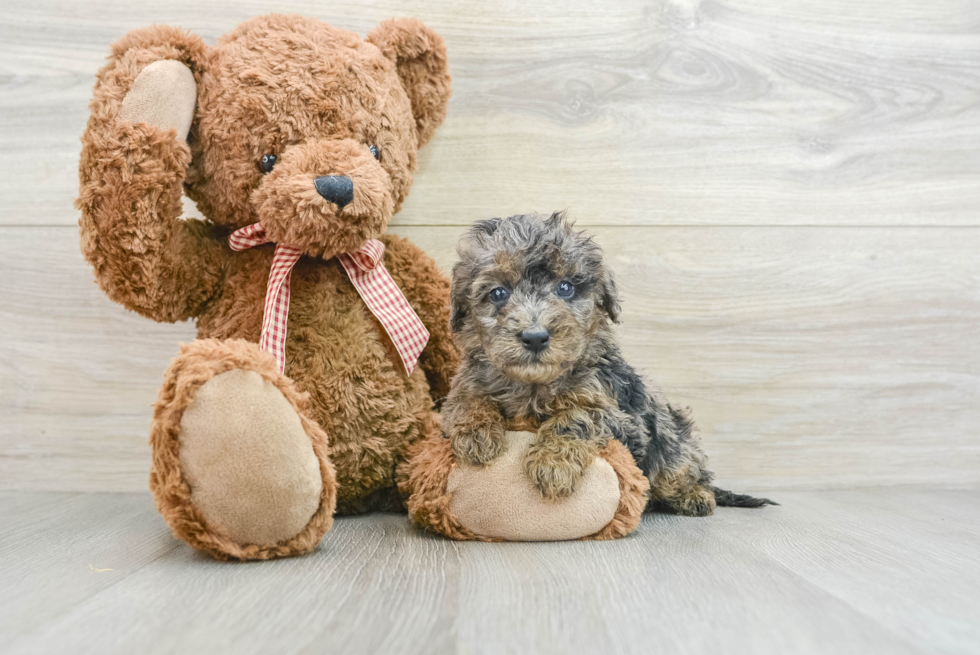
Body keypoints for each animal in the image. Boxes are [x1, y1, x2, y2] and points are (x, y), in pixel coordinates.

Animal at [440, 213, 776, 516]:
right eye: (498, 293)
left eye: (565, 288)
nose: (535, 337)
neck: (533, 384)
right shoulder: (466, 383)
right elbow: (465, 401)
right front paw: (476, 434)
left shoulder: (615, 411)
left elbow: (575, 418)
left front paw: (553, 464)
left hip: (673, 442)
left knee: (686, 473)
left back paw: (696, 497)